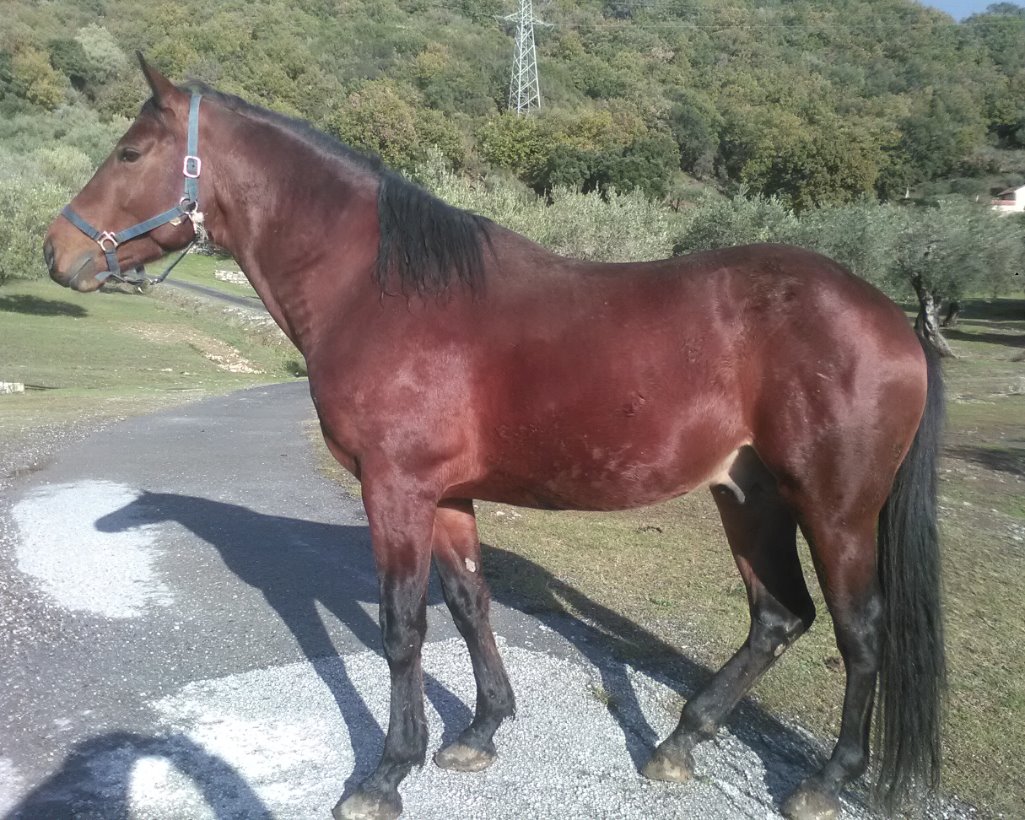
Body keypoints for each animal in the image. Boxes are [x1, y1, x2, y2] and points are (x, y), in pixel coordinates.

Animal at [44, 57, 945, 820]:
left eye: (129, 152)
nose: (55, 251)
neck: (383, 293)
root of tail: (887, 317)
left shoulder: (394, 488)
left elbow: (402, 627)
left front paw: (384, 774)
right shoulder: (445, 495)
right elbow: (468, 603)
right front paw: (478, 733)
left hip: (834, 507)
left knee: (858, 630)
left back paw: (823, 782)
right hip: (747, 495)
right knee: (777, 617)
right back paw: (678, 742)